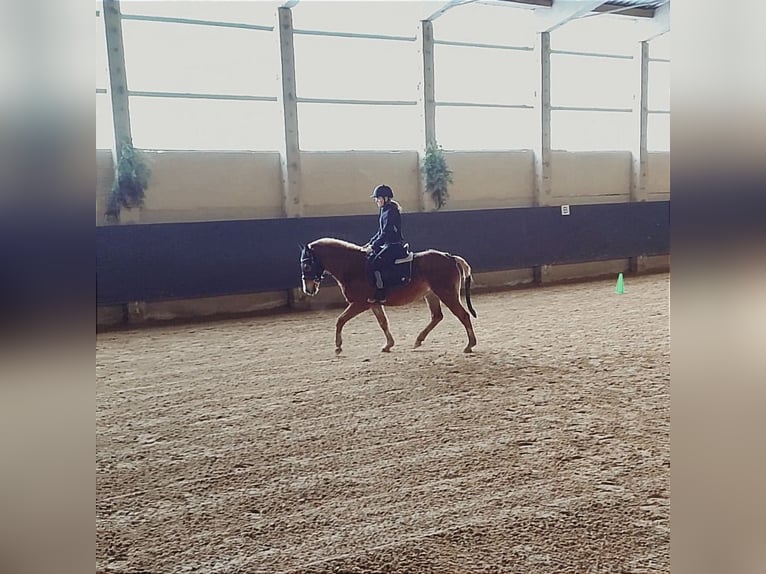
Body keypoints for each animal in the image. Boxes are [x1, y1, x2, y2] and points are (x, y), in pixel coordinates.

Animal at [300, 238, 480, 356]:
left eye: (307, 265)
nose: (308, 289)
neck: (353, 266)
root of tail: (450, 257)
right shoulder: (374, 303)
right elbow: (383, 322)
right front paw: (388, 345)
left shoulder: (360, 303)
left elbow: (340, 320)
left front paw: (338, 346)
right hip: (431, 294)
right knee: (437, 316)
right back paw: (418, 340)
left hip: (446, 293)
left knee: (463, 315)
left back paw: (469, 345)